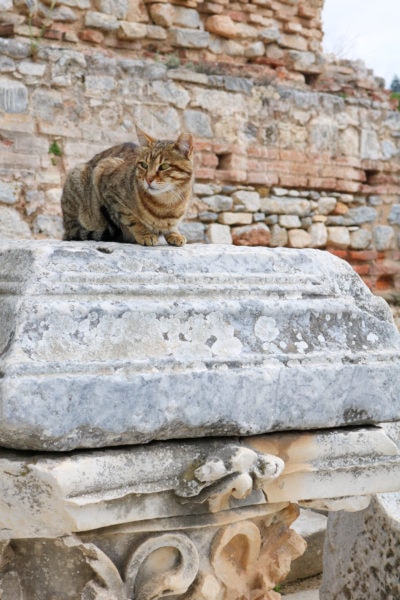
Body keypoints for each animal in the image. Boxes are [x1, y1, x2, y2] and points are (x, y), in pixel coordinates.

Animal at [60, 129, 195, 246]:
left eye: (164, 166)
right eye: (144, 165)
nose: (148, 179)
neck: (167, 203)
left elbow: (172, 226)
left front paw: (175, 234)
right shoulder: (105, 179)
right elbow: (131, 218)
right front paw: (145, 234)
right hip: (78, 175)